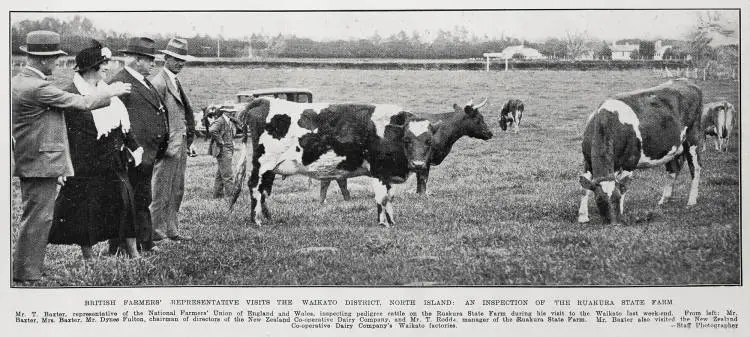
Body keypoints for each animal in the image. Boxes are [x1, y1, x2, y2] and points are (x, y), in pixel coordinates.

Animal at [231, 98, 434, 228]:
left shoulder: (387, 173)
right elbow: (382, 197)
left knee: (264, 190)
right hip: (262, 163)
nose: (418, 164)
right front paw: (383, 223)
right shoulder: (378, 171)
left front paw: (391, 221)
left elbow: (389, 197)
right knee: (254, 186)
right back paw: (256, 221)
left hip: (271, 168)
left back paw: (268, 218)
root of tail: (264, 101)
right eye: (407, 140)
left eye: (428, 141)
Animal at [580, 79, 704, 223]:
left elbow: (623, 185)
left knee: (695, 168)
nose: (614, 223)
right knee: (672, 170)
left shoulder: (630, 162)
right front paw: (582, 216)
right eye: (599, 200)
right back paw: (664, 200)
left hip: (693, 139)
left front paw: (621, 211)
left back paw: (691, 201)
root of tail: (686, 81)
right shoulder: (587, 161)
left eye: (617, 198)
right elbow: (584, 189)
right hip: (671, 148)